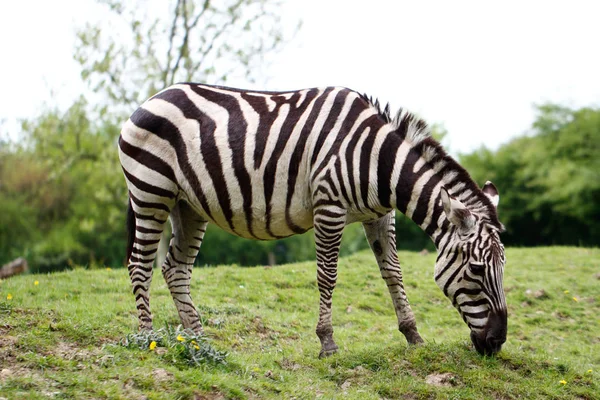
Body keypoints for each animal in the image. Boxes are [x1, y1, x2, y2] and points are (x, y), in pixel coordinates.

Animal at [119, 83, 508, 358]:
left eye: (503, 268)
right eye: (476, 269)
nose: (497, 342)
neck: (378, 161)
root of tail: (150, 99)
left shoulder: (381, 216)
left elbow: (393, 273)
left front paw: (413, 335)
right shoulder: (329, 206)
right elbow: (327, 275)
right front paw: (327, 342)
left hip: (188, 205)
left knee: (175, 268)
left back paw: (198, 338)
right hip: (151, 192)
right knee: (140, 264)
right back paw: (147, 338)